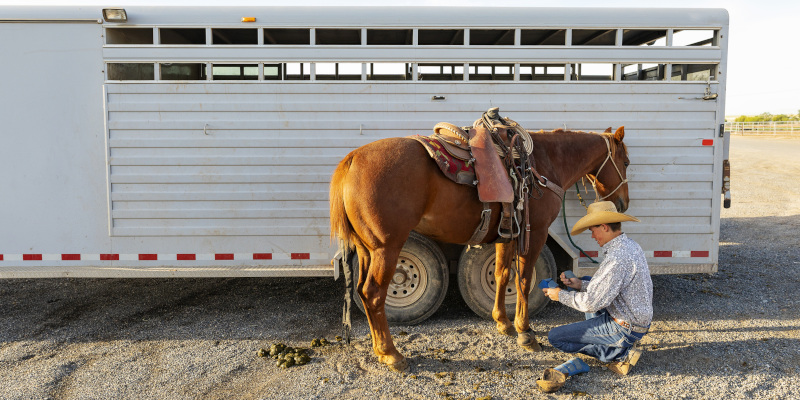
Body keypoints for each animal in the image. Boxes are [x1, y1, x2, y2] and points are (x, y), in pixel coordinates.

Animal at [328, 126, 628, 370]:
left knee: (363, 293)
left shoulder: (506, 236)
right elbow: (523, 280)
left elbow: (503, 275)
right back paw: (391, 354)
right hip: (387, 248)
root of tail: (352, 159)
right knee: (374, 294)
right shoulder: (535, 233)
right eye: (625, 162)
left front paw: (503, 322)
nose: (622, 204)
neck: (544, 163)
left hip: (367, 249)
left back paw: (380, 349)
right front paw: (525, 332)